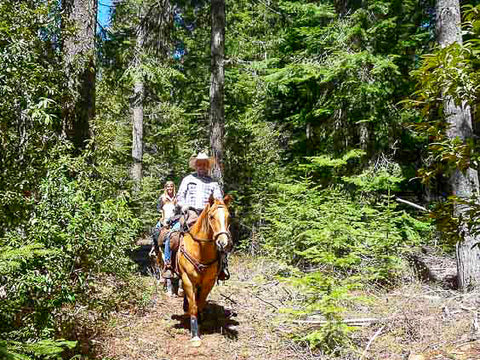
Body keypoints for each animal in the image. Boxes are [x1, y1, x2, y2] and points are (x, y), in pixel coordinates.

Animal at [178, 194, 234, 346]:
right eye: (212, 216)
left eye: (229, 217)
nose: (223, 243)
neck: (200, 251)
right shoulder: (187, 279)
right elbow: (193, 305)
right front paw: (195, 335)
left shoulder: (209, 281)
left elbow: (200, 303)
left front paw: (200, 320)